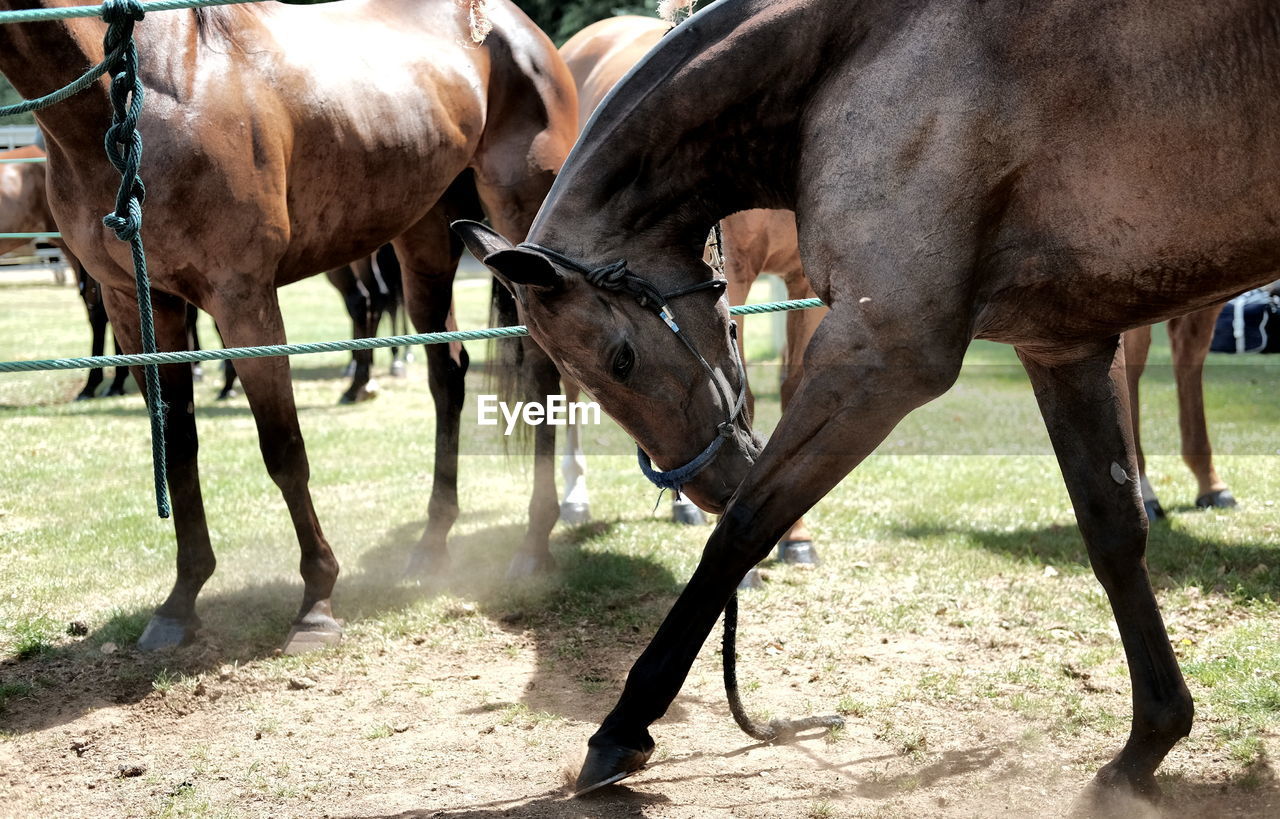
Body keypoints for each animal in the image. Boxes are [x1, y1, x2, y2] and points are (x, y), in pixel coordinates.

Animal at [0, 0, 578, 652]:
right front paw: (181, 601)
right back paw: (432, 545)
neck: (150, 88)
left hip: (518, 225)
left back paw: (533, 544)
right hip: (425, 236)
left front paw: (317, 601)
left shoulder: (243, 300)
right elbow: (178, 449)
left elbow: (283, 449)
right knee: (447, 376)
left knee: (542, 372)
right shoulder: (139, 305)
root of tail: (516, 28)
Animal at [455, 0, 1280, 808]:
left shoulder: (881, 357)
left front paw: (624, 725)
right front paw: (1148, 744)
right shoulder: (1061, 346)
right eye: (583, 373)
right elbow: (1114, 538)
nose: (708, 482)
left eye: (621, 358)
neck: (856, 55)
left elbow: (744, 529)